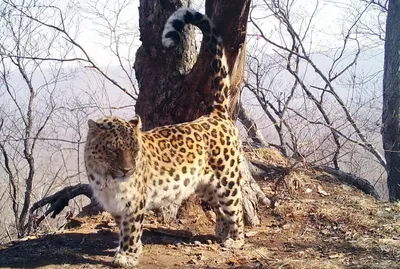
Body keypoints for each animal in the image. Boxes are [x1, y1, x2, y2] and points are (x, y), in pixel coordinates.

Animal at [85, 7, 244, 266]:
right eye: (112, 150)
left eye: (135, 151)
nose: (127, 171)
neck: (106, 178)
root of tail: (216, 114)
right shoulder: (115, 205)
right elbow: (122, 228)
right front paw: (131, 250)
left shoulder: (134, 202)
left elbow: (131, 229)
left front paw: (128, 256)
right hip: (205, 184)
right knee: (220, 208)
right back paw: (222, 232)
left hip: (226, 179)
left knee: (235, 206)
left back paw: (236, 240)